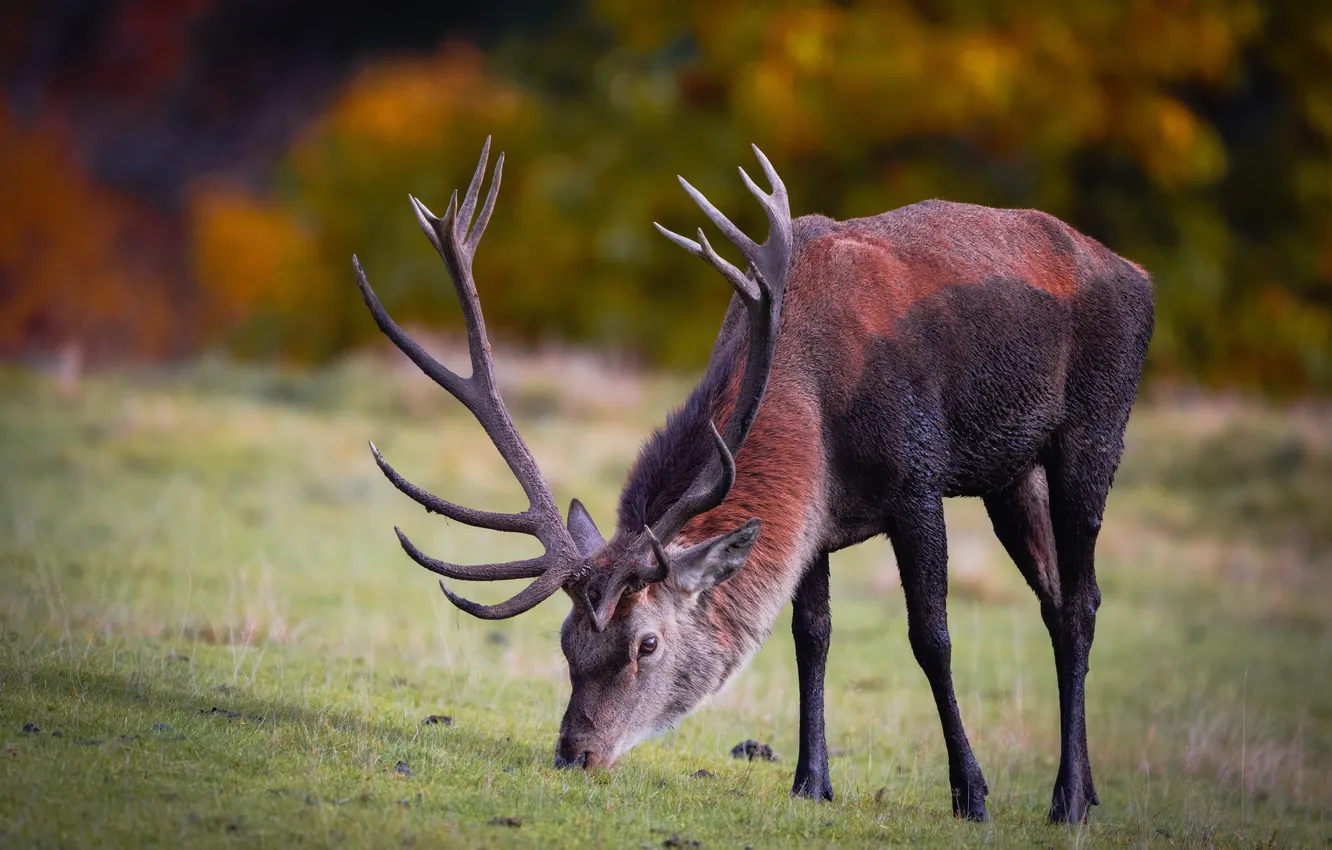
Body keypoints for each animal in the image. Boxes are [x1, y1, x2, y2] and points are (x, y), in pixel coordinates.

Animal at [353, 137, 1154, 823]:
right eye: (566, 642)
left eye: (647, 643)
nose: (575, 755)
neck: (813, 399)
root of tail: (1137, 273)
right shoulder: (818, 517)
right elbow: (811, 635)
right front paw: (811, 783)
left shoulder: (918, 479)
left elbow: (932, 636)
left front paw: (972, 794)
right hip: (1010, 477)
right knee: (1055, 599)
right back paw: (1086, 790)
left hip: (1095, 428)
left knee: (1082, 601)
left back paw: (1068, 801)